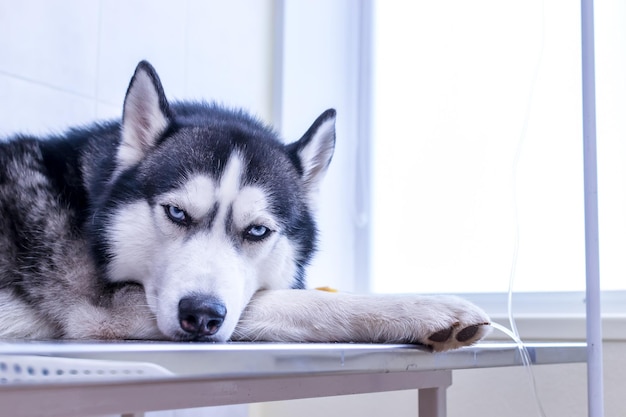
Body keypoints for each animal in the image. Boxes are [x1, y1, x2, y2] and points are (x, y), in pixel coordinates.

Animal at [0, 60, 488, 350]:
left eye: (257, 231)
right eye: (176, 213)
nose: (201, 316)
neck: (86, 196)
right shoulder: (107, 313)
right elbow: (296, 303)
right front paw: (425, 309)